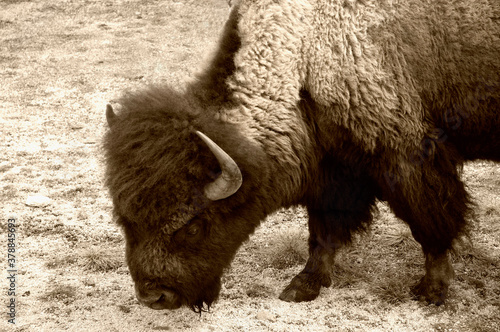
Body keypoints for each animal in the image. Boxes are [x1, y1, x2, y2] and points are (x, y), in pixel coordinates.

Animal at [103, 0, 498, 312]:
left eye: (194, 225)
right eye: (124, 220)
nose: (156, 298)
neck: (303, 61)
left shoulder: (409, 159)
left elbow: (431, 225)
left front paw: (432, 291)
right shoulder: (334, 173)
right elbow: (322, 233)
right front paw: (303, 285)